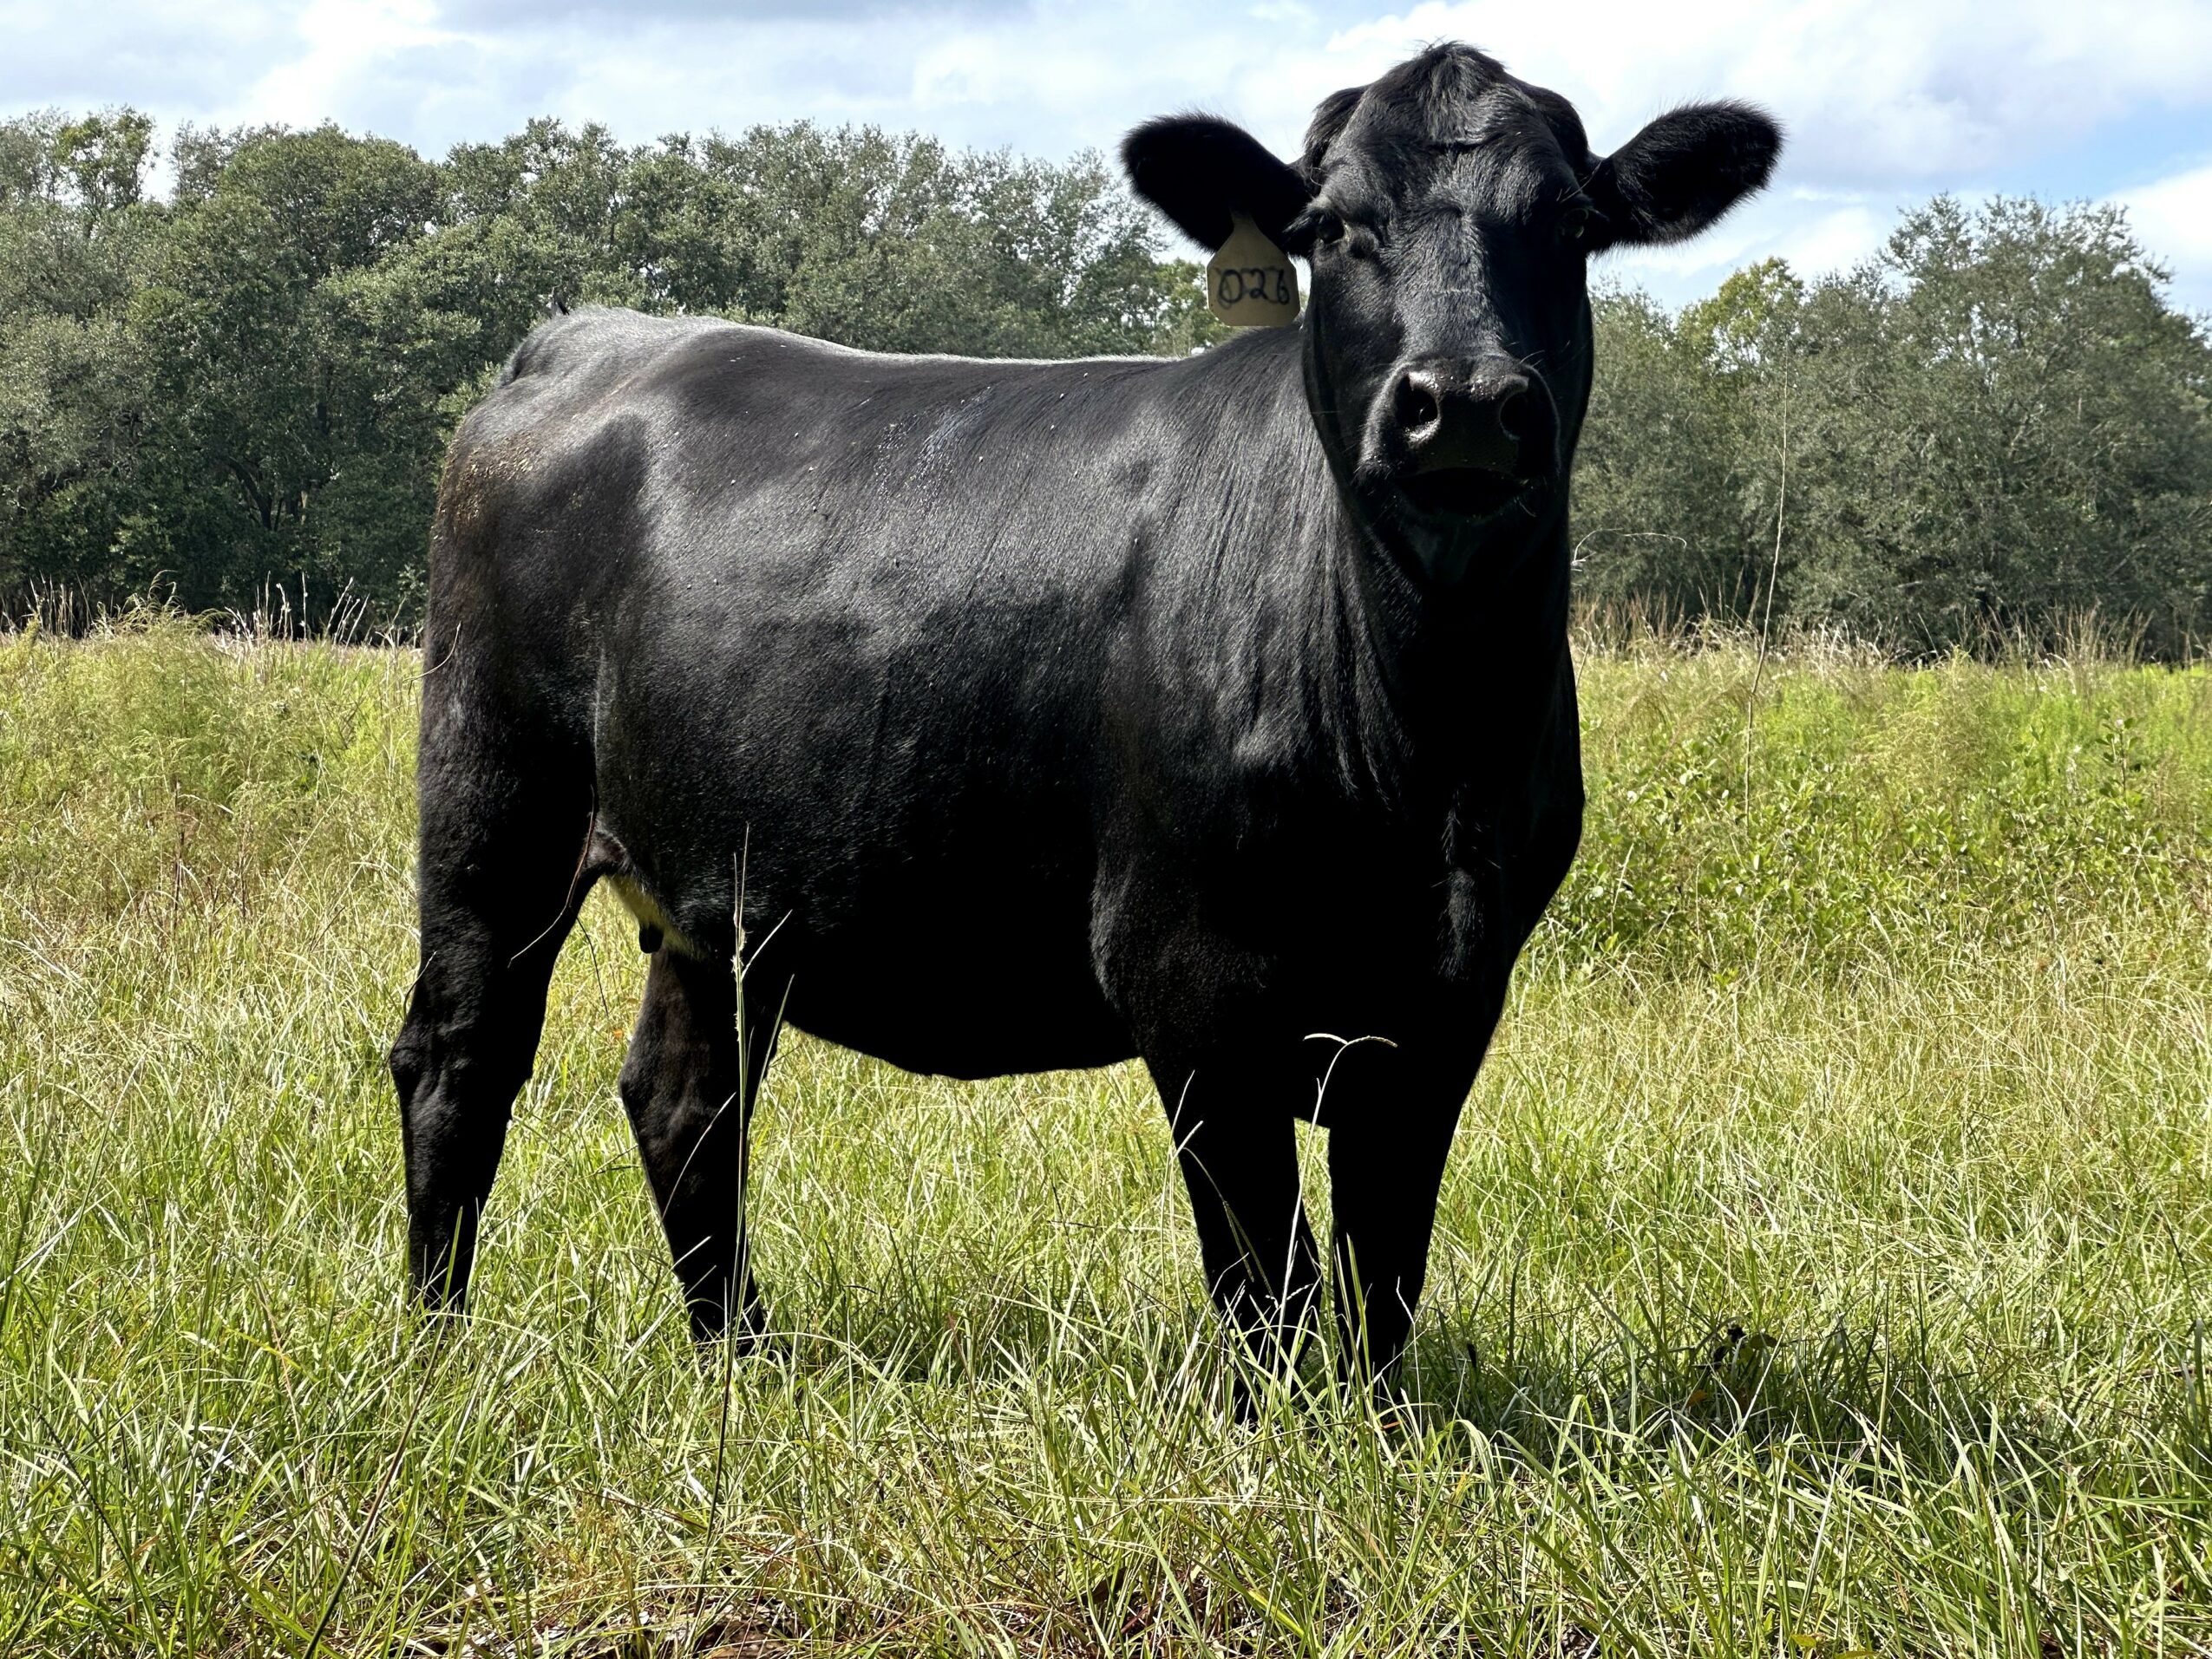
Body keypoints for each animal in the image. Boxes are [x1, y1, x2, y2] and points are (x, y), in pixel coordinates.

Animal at [388, 43, 1779, 1396]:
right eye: (1331, 227)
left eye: (1571, 224)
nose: (1466, 401)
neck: (1422, 751)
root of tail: (589, 335)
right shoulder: (1188, 972)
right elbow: (1265, 1272)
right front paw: (1282, 1443)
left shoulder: (1450, 990)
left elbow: (1384, 1266)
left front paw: (1380, 1435)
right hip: (492, 797)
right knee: (459, 1055)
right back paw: (437, 1350)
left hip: (721, 883)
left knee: (684, 1097)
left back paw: (742, 1362)